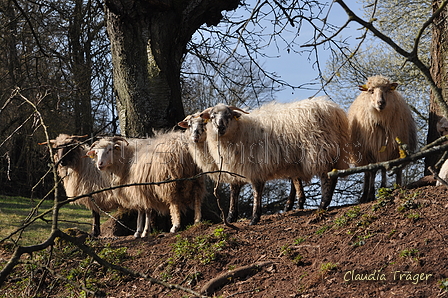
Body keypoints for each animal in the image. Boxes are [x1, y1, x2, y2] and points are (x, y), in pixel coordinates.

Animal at [178, 114, 308, 221]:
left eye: (204, 123)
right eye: (189, 125)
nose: (195, 136)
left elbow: (234, 189)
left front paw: (231, 216)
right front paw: (233, 215)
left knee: (296, 178)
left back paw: (298, 203)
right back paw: (290, 205)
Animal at [200, 98, 350, 226]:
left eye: (229, 115)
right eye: (212, 117)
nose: (220, 127)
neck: (239, 130)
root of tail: (334, 110)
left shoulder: (255, 167)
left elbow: (256, 191)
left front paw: (254, 218)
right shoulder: (235, 168)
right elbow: (234, 191)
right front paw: (231, 217)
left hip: (320, 151)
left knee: (326, 178)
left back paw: (323, 205)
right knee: (333, 176)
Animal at [348, 75, 418, 204]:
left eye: (387, 90)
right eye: (371, 90)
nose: (381, 102)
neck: (380, 118)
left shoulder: (392, 148)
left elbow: (388, 168)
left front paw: (387, 187)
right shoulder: (370, 149)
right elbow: (373, 170)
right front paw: (371, 194)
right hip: (363, 153)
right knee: (367, 173)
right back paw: (364, 196)